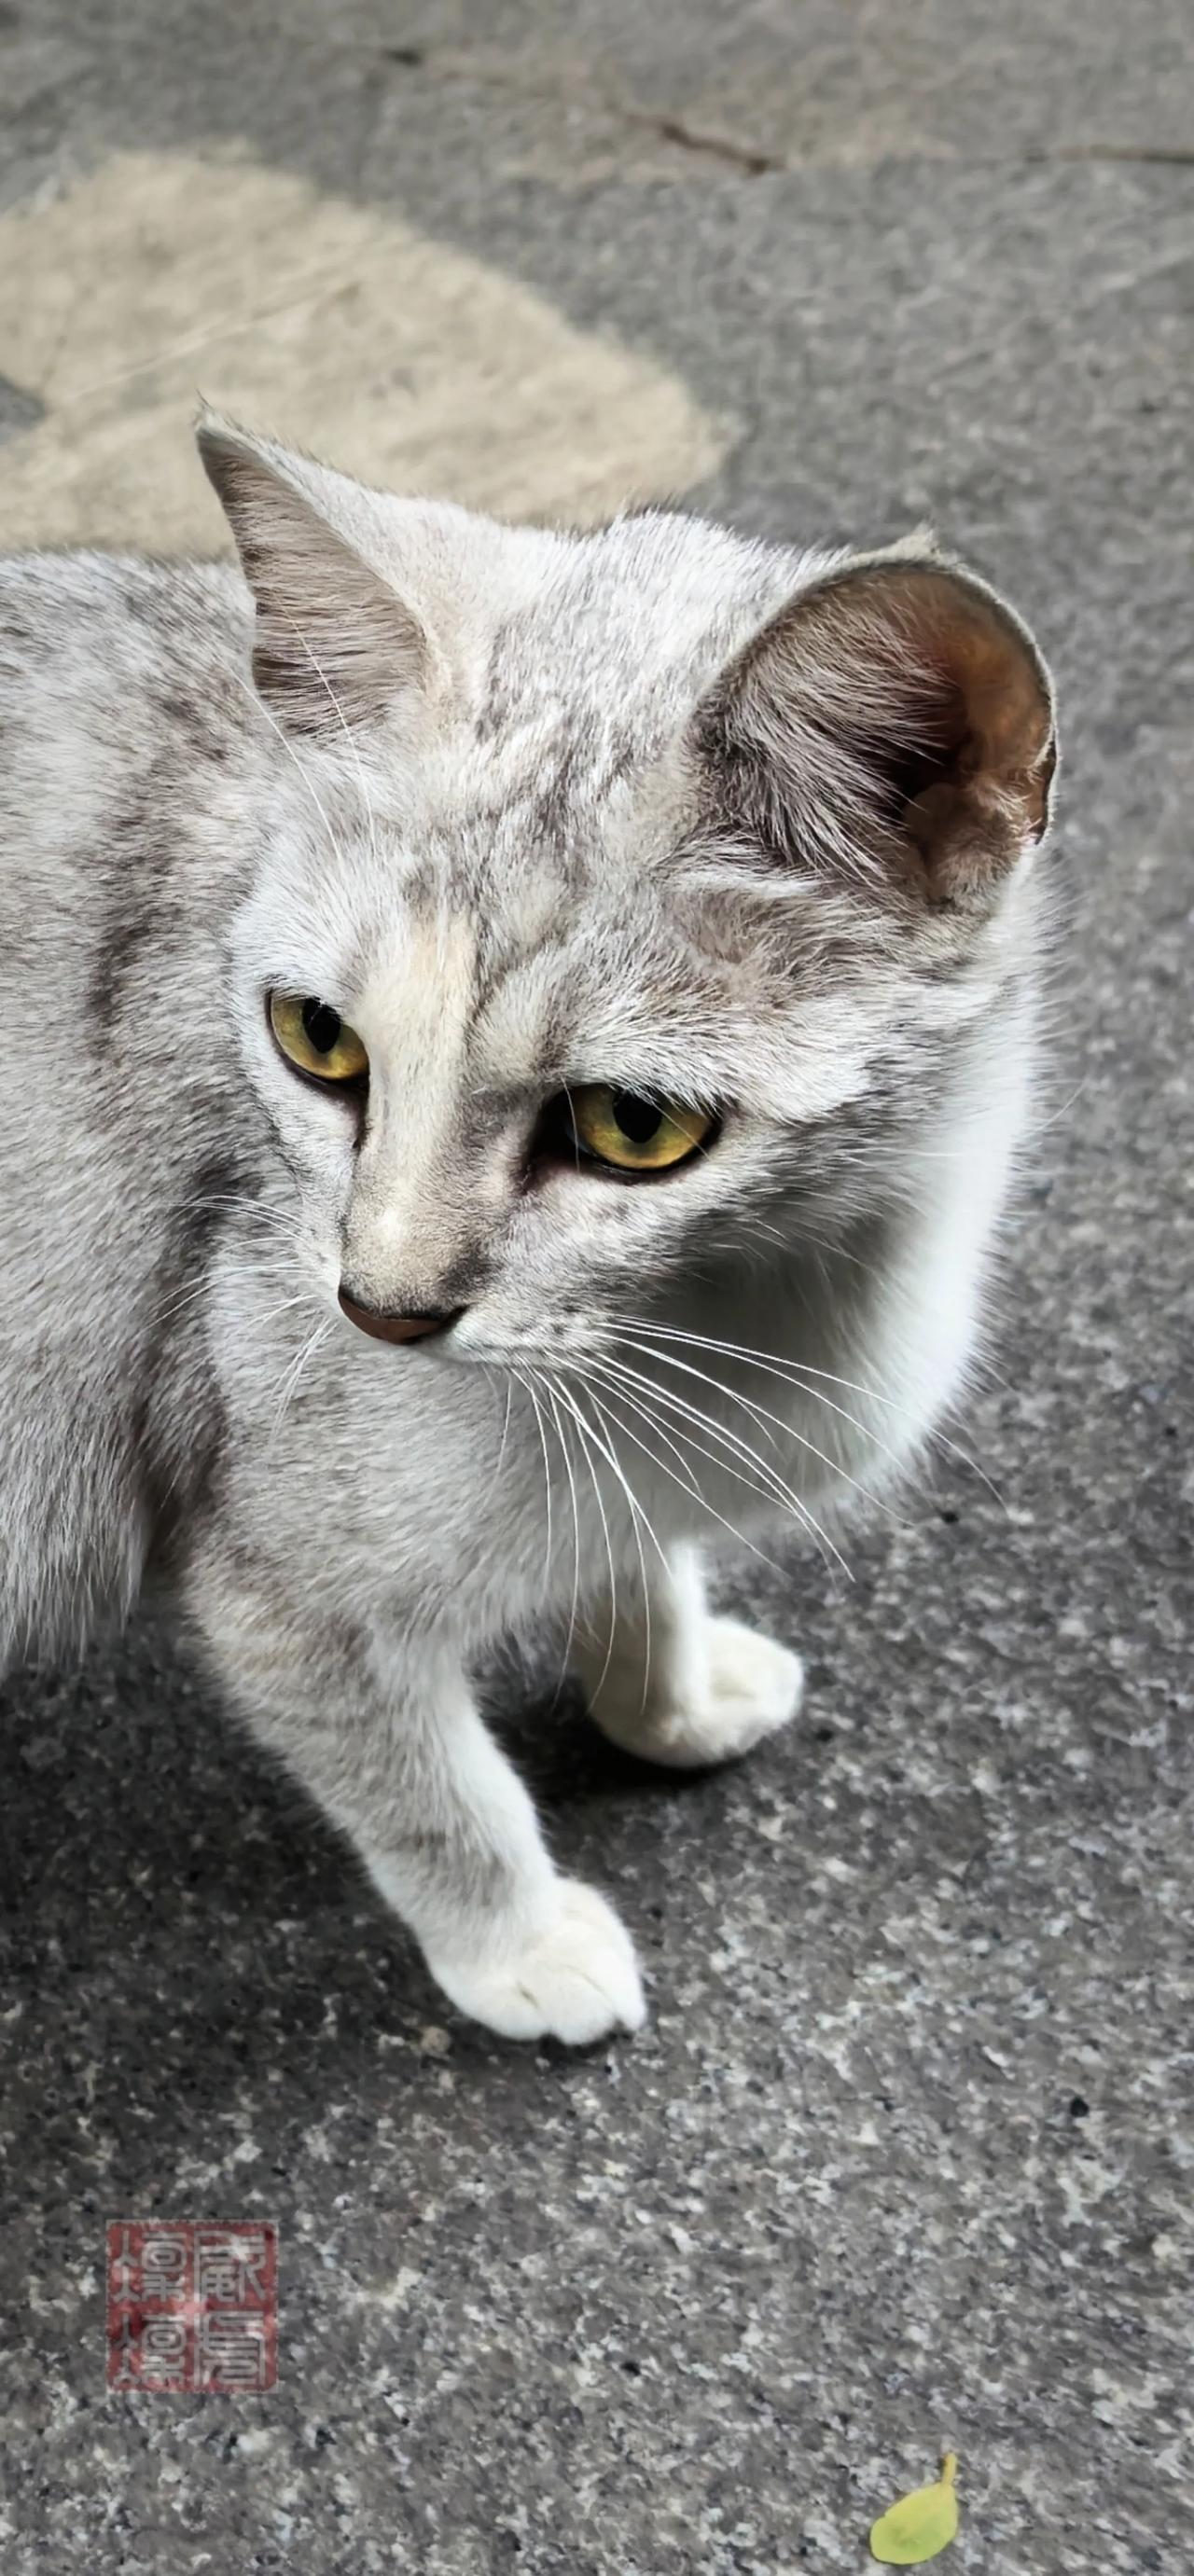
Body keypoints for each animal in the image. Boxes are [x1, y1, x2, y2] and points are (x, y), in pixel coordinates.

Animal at [0, 411, 1062, 2040]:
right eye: (317, 1039)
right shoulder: (280, 1583)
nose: (376, 1304)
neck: (736, 1320)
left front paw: (671, 1697)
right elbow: (431, 1788)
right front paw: (518, 1939)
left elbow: (639, 1563)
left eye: (632, 1127)